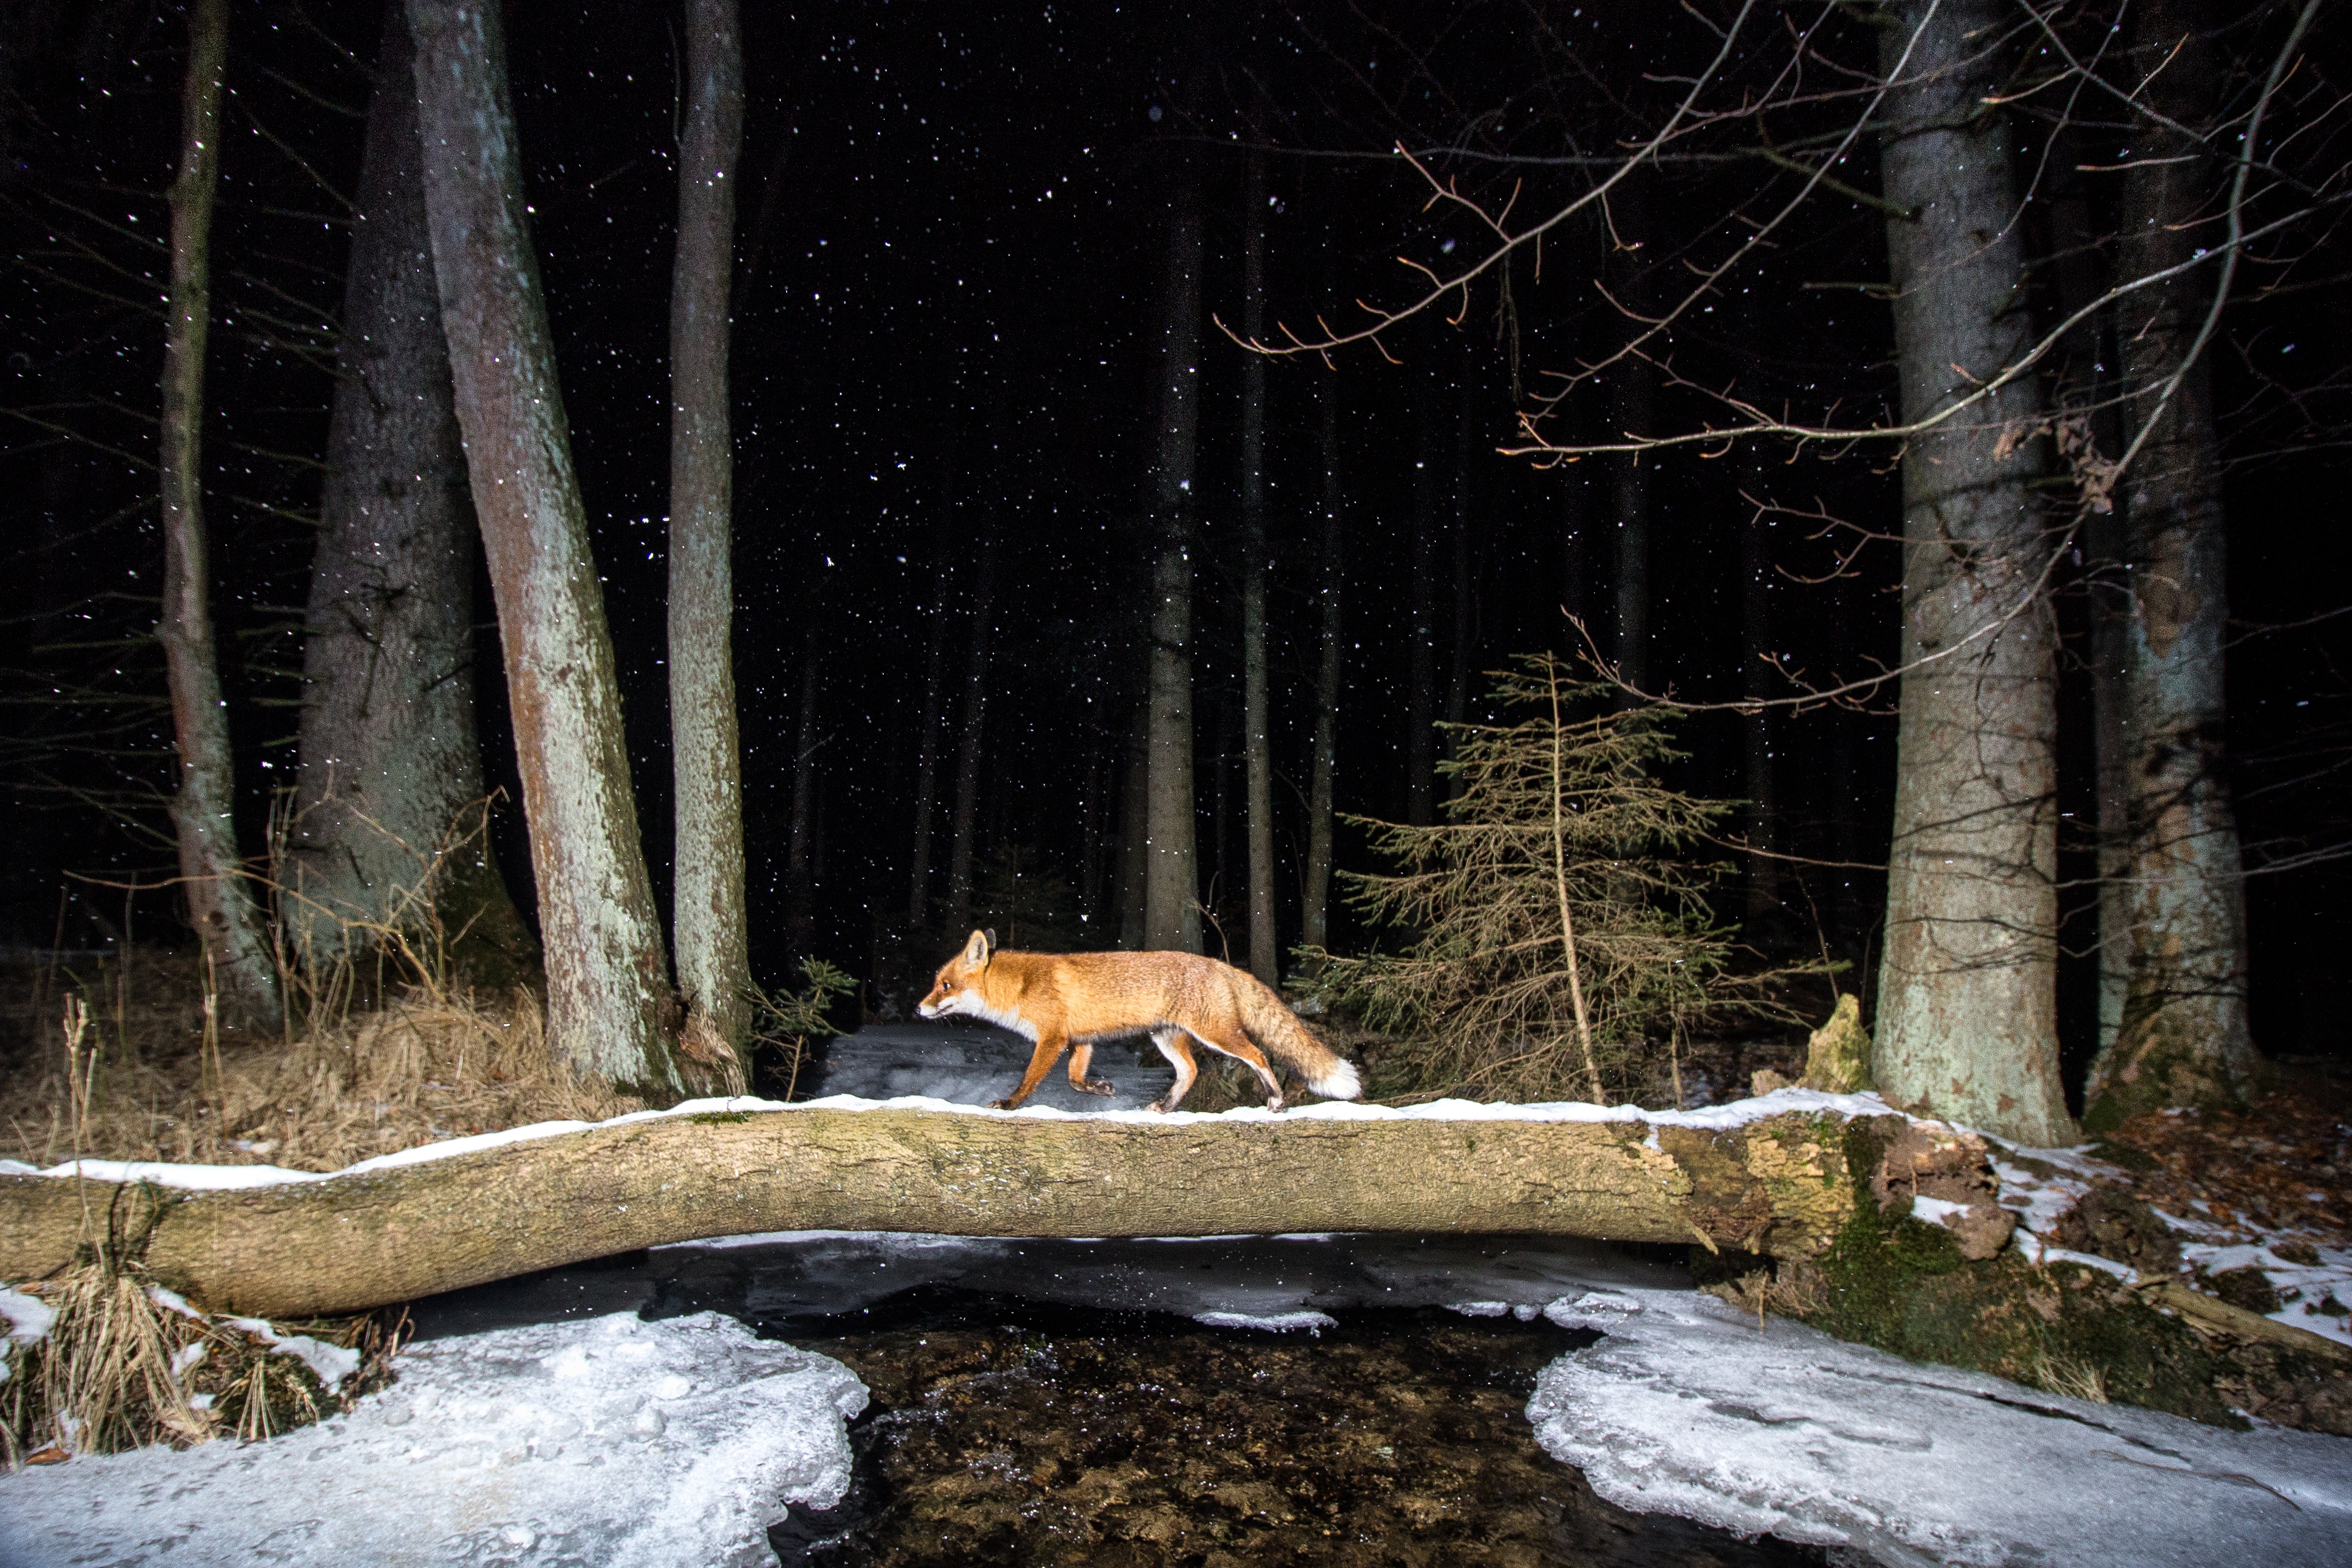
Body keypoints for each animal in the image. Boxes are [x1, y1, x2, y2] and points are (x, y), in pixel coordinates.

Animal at [912, 930, 1364, 1114]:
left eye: (945, 985)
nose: (918, 1009)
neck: (1020, 987)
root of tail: (1219, 963)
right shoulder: (1081, 1041)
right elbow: (1075, 1081)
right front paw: (1100, 1089)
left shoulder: (1053, 1039)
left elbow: (1029, 1080)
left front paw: (1009, 1104)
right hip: (1168, 1040)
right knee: (1191, 1071)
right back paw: (1165, 1107)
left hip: (1218, 1035)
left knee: (1259, 1056)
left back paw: (1275, 1100)